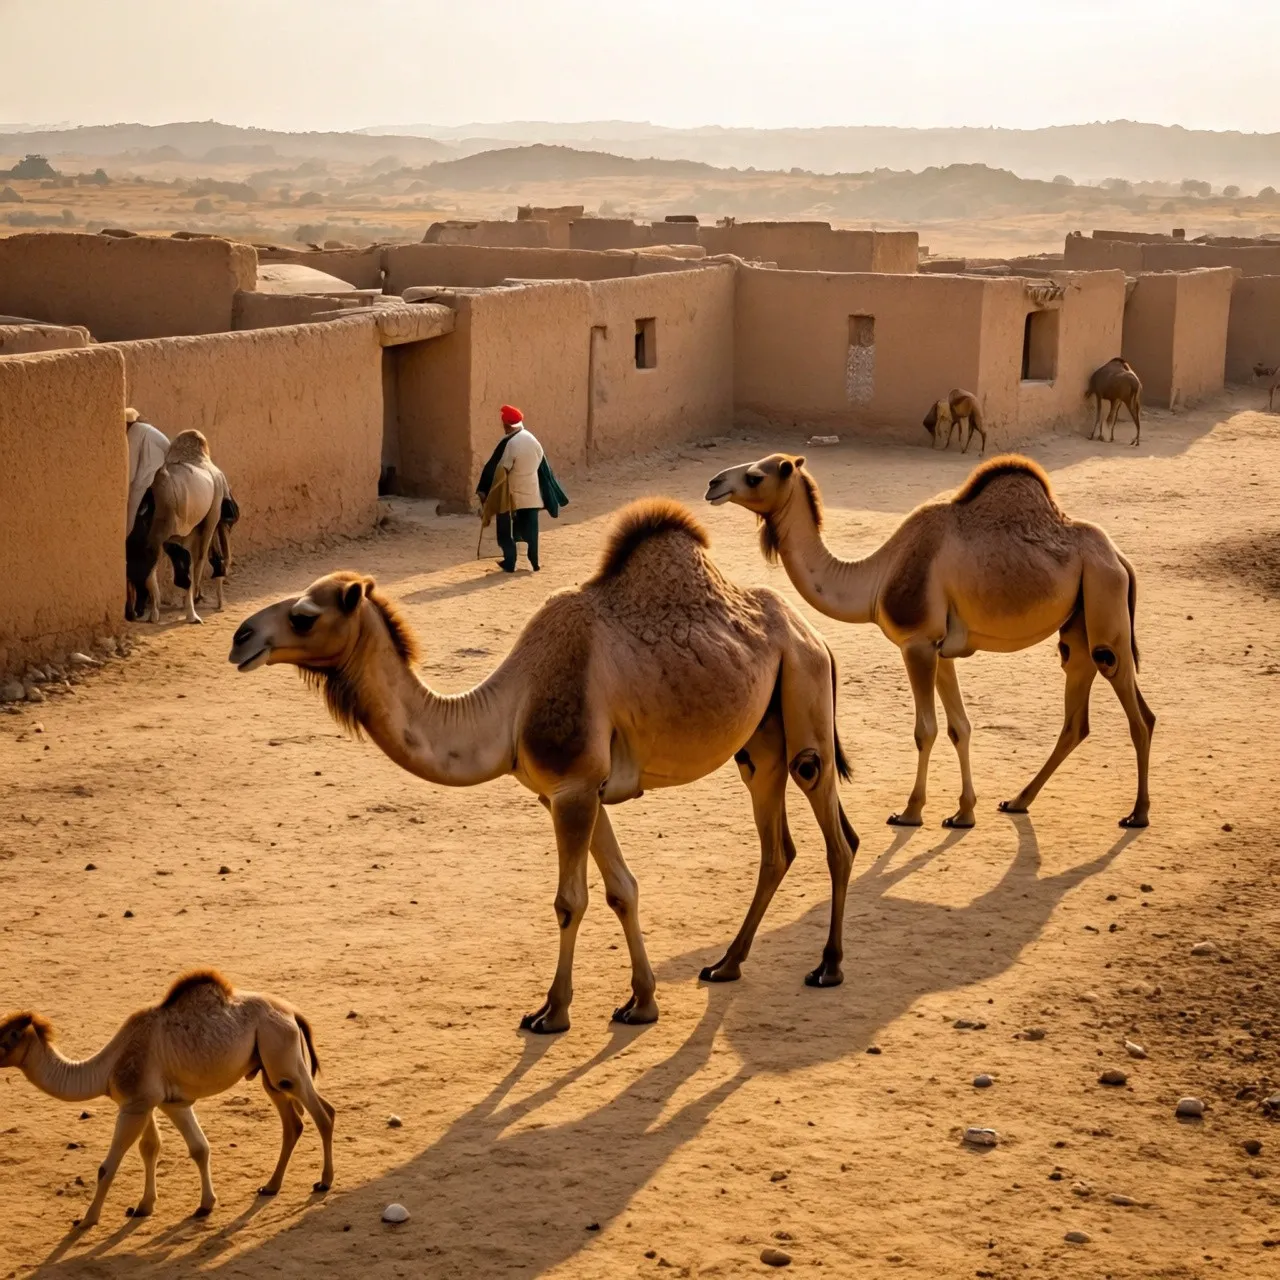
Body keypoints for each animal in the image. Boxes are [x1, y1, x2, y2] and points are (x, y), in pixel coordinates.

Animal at [0, 970, 334, 1228]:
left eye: (5, 1039)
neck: (106, 1069)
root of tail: (292, 1012)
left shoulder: (135, 1106)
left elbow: (108, 1165)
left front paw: (86, 1220)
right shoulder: (158, 1102)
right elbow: (171, 1148)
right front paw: (157, 1206)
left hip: (280, 1053)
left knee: (322, 1114)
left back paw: (324, 1182)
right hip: (269, 1064)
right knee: (294, 1121)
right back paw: (270, 1186)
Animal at [125, 429, 232, 625]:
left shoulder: (186, 532)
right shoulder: (212, 513)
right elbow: (198, 560)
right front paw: (196, 601)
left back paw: (149, 612)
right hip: (166, 530)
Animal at [228, 500, 860, 1033]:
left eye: (304, 616)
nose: (240, 637)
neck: (509, 707)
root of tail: (814, 634)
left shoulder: (575, 788)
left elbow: (570, 900)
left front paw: (551, 1012)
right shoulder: (571, 791)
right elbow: (623, 889)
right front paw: (641, 1002)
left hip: (803, 693)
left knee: (833, 828)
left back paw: (828, 967)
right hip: (761, 738)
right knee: (777, 845)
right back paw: (726, 964)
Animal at [705, 454, 1155, 830]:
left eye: (755, 475)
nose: (713, 483)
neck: (876, 577)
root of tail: (1120, 557)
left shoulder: (917, 644)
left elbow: (926, 730)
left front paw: (910, 812)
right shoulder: (942, 649)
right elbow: (960, 727)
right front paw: (963, 813)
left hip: (1104, 593)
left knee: (1133, 704)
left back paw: (1137, 814)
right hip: (1079, 619)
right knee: (1077, 708)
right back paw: (1018, 800)